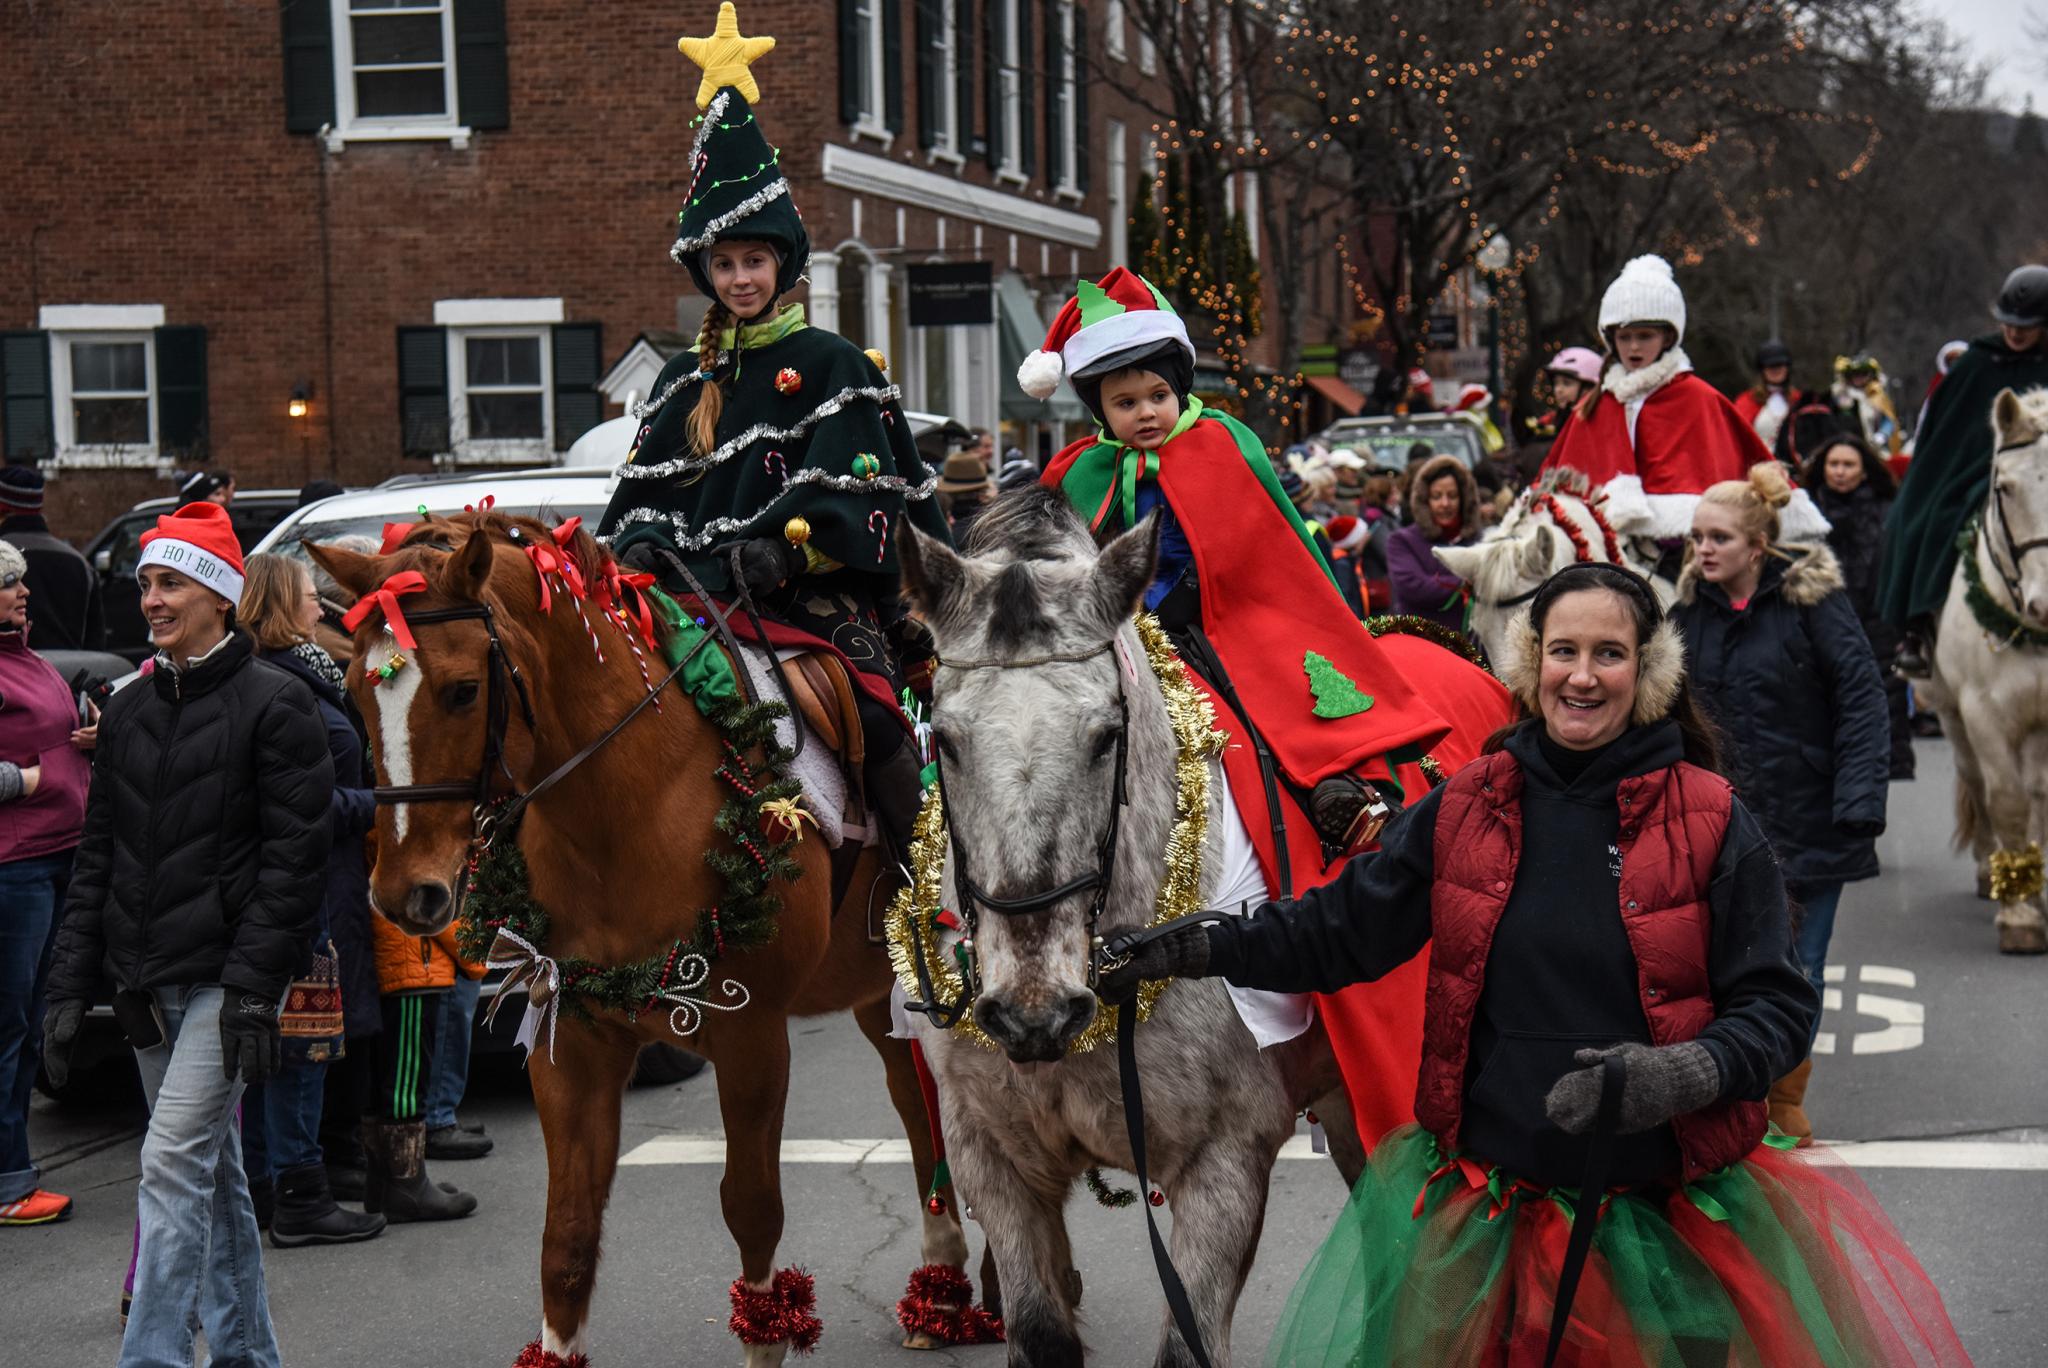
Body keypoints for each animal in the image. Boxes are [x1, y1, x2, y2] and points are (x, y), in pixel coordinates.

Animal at [313, 507, 966, 1359]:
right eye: (354, 691)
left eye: (462, 691)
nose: (403, 895)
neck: (628, 806)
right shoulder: (572, 1034)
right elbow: (565, 1241)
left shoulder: (752, 1035)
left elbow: (751, 1206)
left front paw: (766, 1334)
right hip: (873, 991)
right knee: (919, 1108)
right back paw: (949, 1295)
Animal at [892, 491, 1343, 1368]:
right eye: (948, 742)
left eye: (1107, 735)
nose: (1031, 1012)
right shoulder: (989, 1158)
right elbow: (1040, 1331)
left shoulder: (1224, 1167)